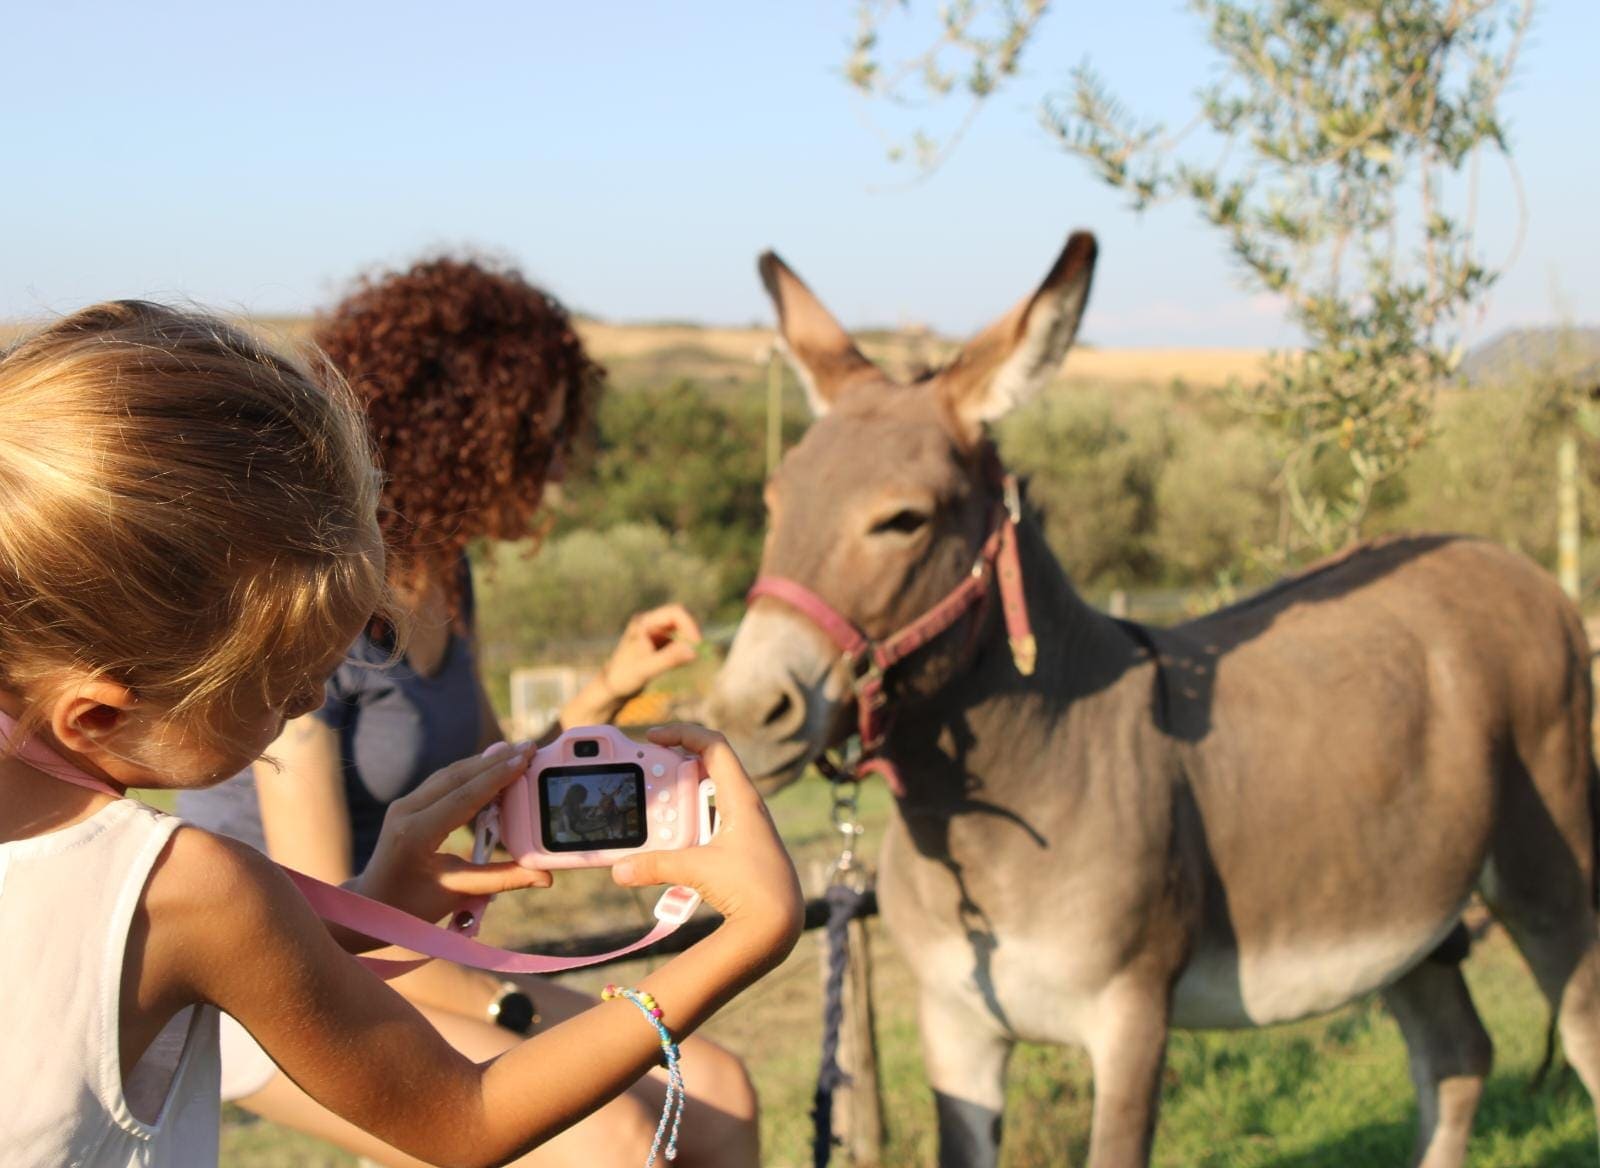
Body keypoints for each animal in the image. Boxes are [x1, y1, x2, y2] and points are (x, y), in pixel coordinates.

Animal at [705, 231, 1600, 1167]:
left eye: (903, 520)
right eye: (773, 504)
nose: (744, 713)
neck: (1019, 796)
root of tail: (1508, 559)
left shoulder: (1131, 1017)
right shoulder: (958, 1024)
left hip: (1548, 874)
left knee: (1578, 1035)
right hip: (1403, 915)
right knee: (1457, 1055)